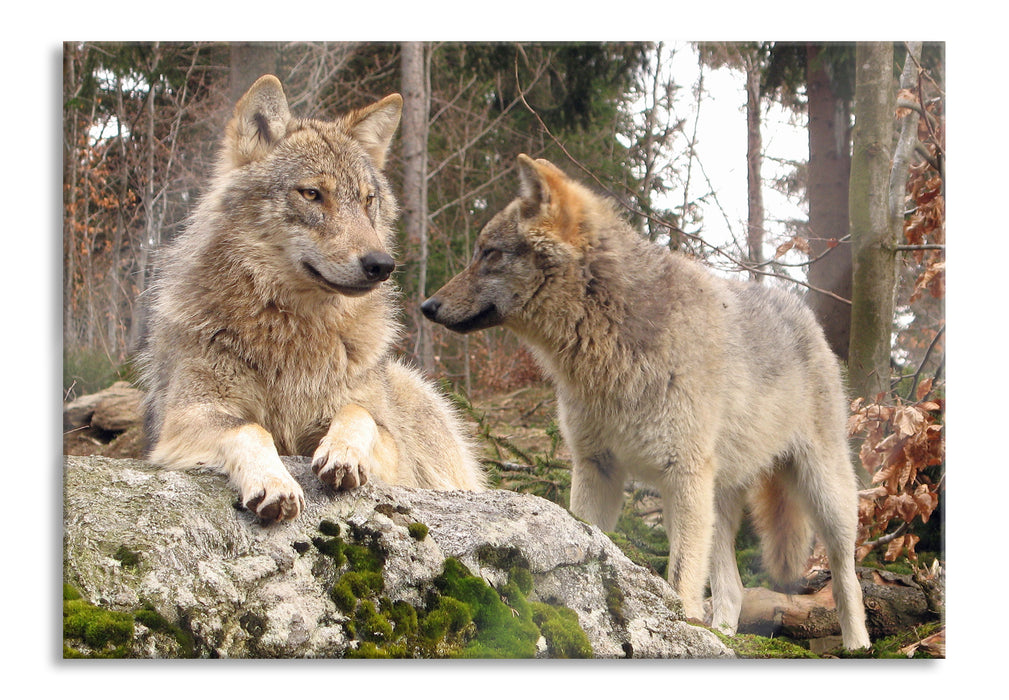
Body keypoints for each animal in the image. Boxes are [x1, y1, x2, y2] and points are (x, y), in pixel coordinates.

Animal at [137, 75, 485, 523]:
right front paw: (274, 482)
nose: (381, 264)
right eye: (312, 194)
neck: (292, 327)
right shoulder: (184, 418)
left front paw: (343, 453)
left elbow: (359, 414)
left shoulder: (391, 448)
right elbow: (251, 429)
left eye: (368, 200)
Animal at [422, 154, 871, 649]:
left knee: (847, 577)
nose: (427, 305)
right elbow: (590, 540)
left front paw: (681, 629)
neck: (608, 345)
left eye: (489, 253)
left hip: (823, 495)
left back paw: (858, 645)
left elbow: (680, 579)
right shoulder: (595, 467)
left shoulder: (682, 475)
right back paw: (722, 635)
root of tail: (803, 311)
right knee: (732, 589)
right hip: (717, 504)